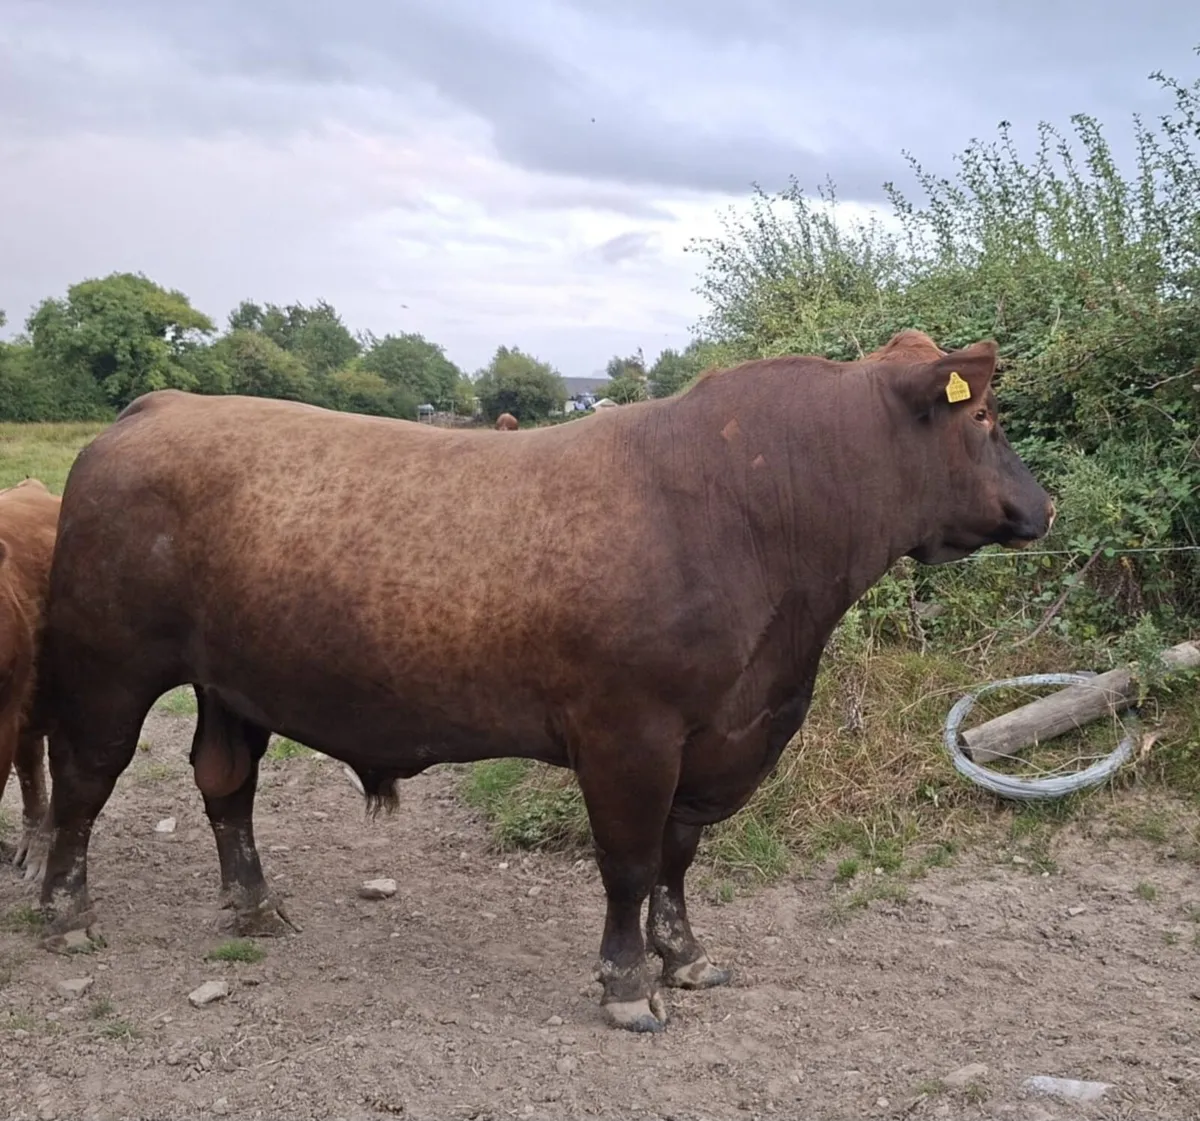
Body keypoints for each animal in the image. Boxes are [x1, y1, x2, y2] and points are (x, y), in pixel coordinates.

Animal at [31, 334, 1053, 1033]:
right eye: (984, 419)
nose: (1041, 506)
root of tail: (157, 405)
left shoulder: (718, 734)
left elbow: (678, 857)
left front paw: (686, 957)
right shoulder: (629, 733)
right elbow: (630, 861)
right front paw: (629, 984)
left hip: (234, 683)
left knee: (225, 782)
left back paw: (254, 903)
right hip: (106, 664)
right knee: (85, 783)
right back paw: (65, 914)